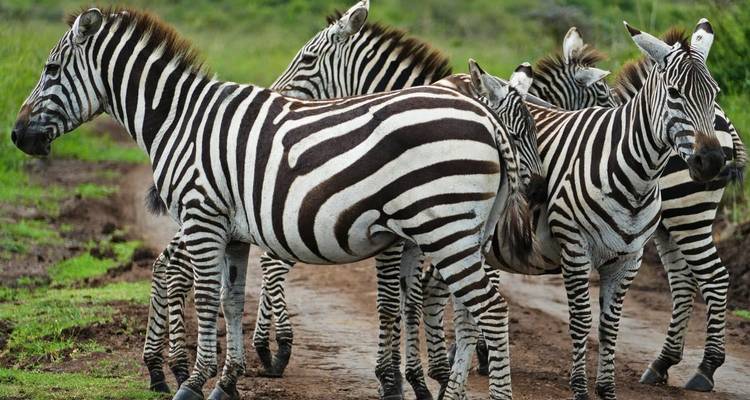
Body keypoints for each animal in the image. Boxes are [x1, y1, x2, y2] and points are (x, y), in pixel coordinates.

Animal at [11, 7, 543, 400]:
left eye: (50, 70)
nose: (16, 136)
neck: (180, 120)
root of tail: (486, 120)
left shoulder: (202, 218)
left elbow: (208, 299)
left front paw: (193, 383)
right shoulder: (232, 231)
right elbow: (231, 301)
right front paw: (225, 383)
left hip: (443, 228)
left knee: (490, 307)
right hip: (459, 232)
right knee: (472, 308)